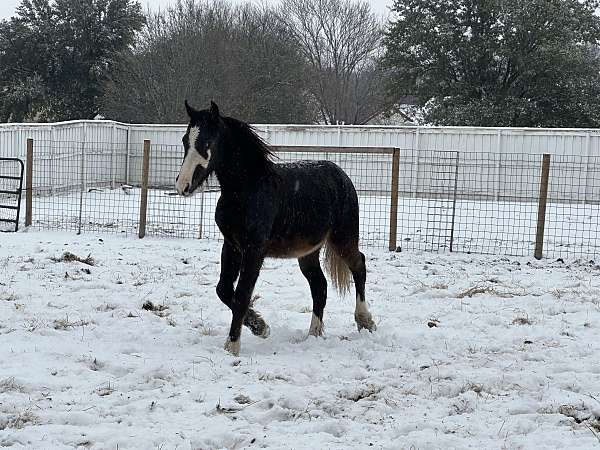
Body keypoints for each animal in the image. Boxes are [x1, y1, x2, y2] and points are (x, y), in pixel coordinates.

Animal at [176, 101, 378, 356]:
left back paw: (365, 321)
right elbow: (223, 290)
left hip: (343, 238)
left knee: (359, 266)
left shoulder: (254, 250)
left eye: (207, 143)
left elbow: (242, 295)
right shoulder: (232, 246)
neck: (246, 190)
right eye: (185, 140)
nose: (183, 186)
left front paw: (233, 346)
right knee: (319, 286)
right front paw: (260, 326)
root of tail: (341, 176)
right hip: (308, 252)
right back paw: (313, 334)